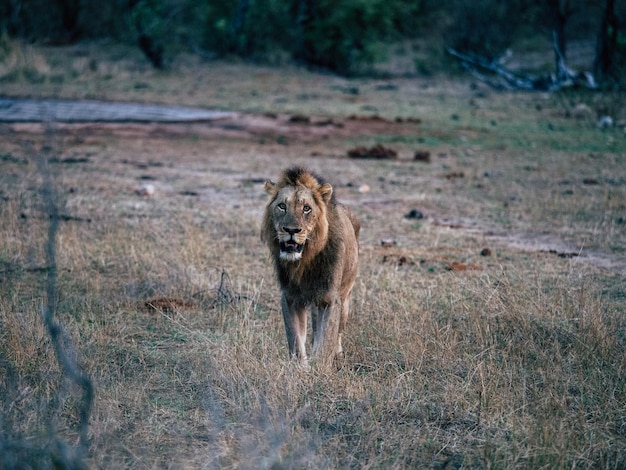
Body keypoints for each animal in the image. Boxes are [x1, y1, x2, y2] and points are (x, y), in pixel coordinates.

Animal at [260, 166, 358, 368]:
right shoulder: (290, 297)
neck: (303, 262)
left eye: (306, 208)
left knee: (337, 332)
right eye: (282, 206)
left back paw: (338, 355)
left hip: (345, 299)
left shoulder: (329, 298)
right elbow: (295, 340)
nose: (291, 230)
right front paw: (300, 368)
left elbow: (325, 341)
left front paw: (319, 369)